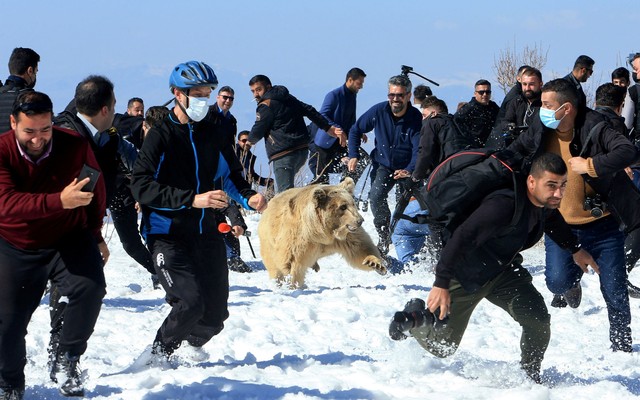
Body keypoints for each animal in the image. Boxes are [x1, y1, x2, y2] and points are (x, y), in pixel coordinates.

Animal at [257, 177, 386, 288]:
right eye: (343, 206)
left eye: (352, 203)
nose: (360, 220)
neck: (323, 233)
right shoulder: (298, 239)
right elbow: (291, 263)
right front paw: (294, 284)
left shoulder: (346, 237)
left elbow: (361, 249)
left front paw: (375, 264)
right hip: (268, 242)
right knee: (274, 267)